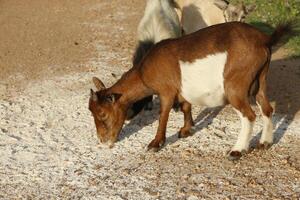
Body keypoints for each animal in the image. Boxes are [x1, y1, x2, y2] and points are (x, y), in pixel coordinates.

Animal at [88, 21, 292, 159]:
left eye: (102, 114)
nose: (103, 141)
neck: (143, 71)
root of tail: (264, 39)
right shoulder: (181, 91)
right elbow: (186, 106)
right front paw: (186, 130)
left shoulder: (166, 91)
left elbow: (163, 115)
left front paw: (155, 143)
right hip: (261, 79)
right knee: (266, 108)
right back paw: (265, 142)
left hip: (235, 85)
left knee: (249, 115)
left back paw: (237, 150)